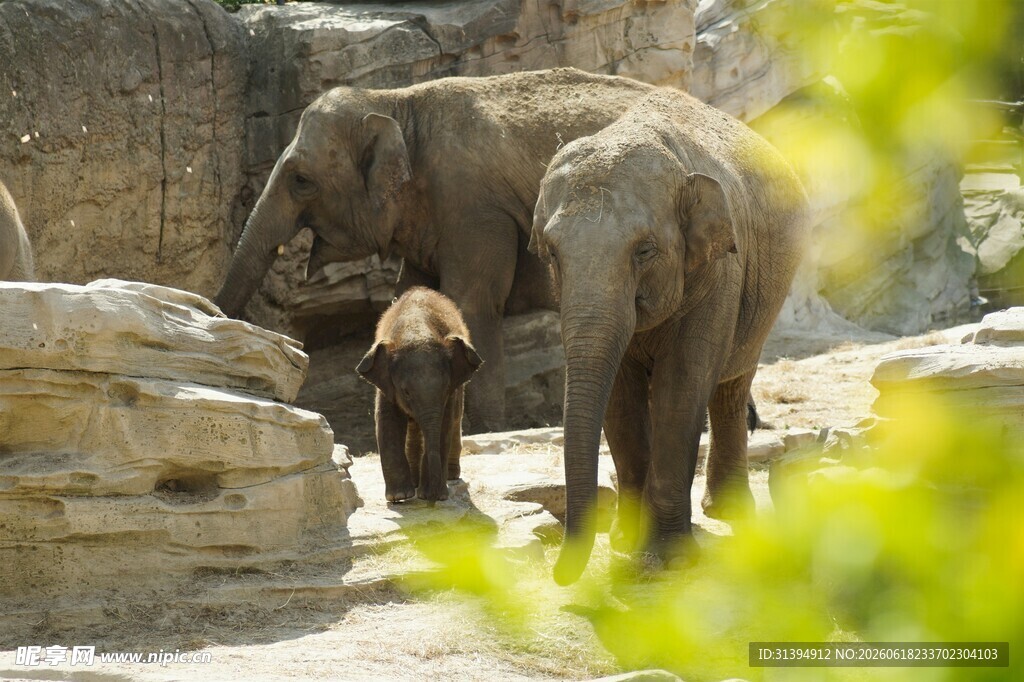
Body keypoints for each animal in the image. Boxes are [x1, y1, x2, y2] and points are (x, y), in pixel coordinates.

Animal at [214, 68, 656, 433]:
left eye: (301, 180)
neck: (396, 102)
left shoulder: (474, 208)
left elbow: (471, 302)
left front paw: (488, 431)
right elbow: (410, 295)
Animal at [357, 287, 482, 502]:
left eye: (445, 387)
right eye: (406, 392)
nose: (433, 496)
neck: (416, 329)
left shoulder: (451, 391)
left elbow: (444, 424)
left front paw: (432, 495)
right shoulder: (386, 386)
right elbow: (387, 421)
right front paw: (399, 497)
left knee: (454, 420)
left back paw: (449, 476)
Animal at [530, 89, 809, 584]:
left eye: (645, 250)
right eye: (551, 253)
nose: (559, 576)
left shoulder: (720, 269)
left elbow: (682, 384)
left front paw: (674, 559)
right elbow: (619, 394)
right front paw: (627, 543)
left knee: (731, 382)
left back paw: (730, 514)